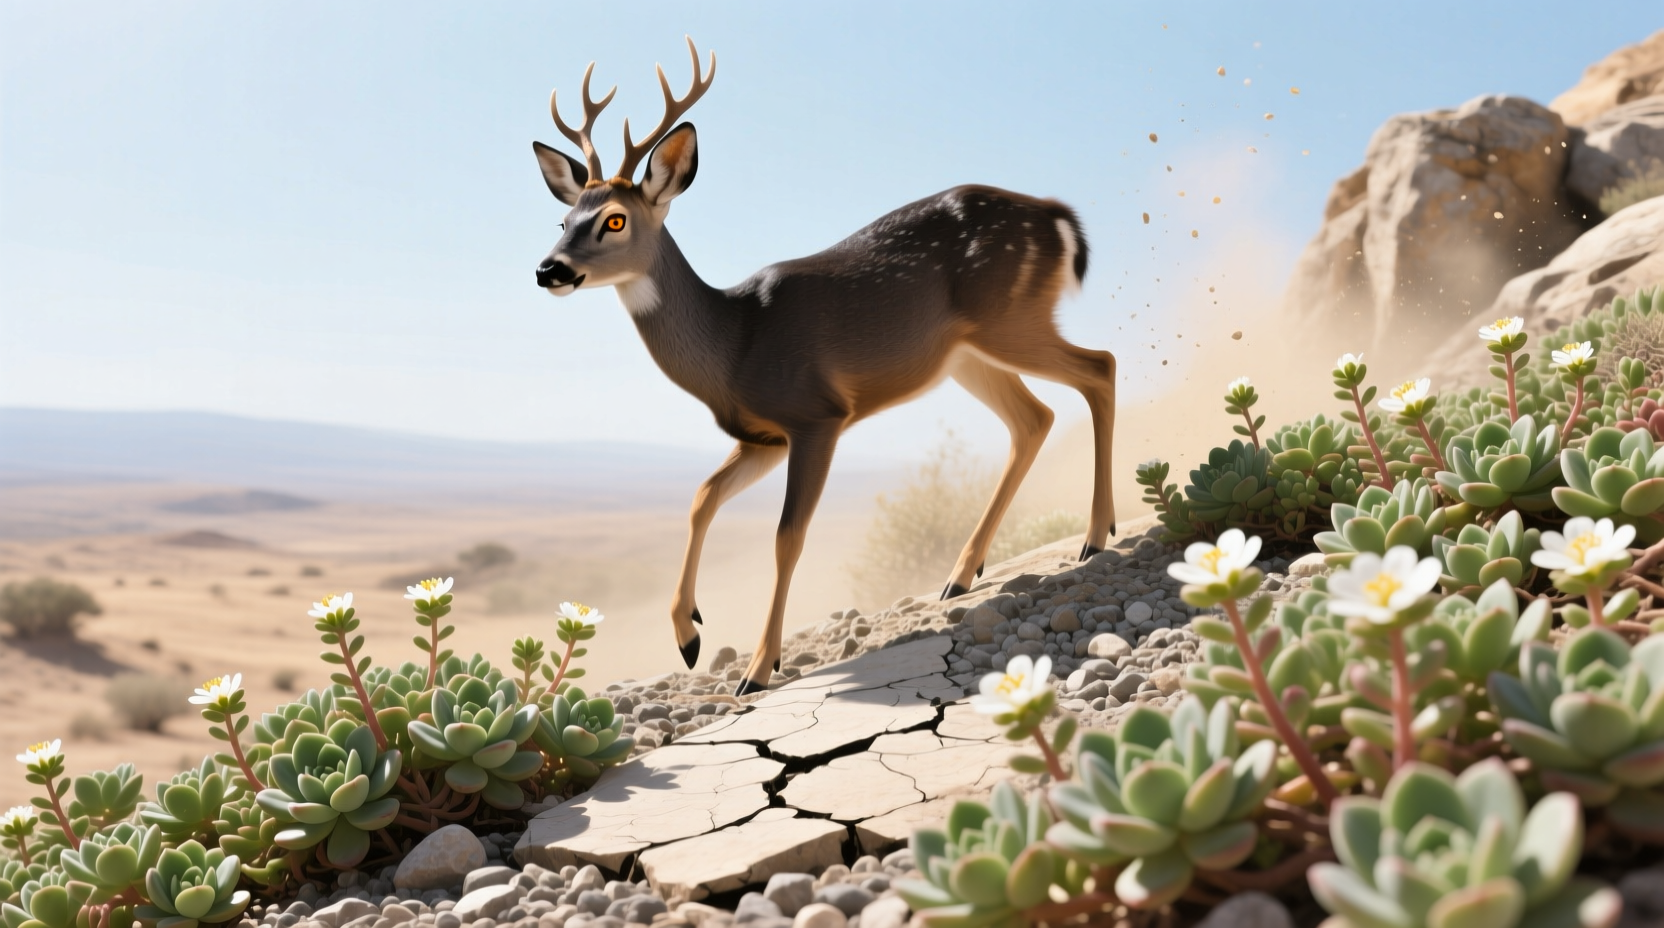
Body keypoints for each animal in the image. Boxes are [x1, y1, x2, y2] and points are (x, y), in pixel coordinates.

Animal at [531, 39, 1119, 696]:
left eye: (614, 219)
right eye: (563, 220)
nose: (549, 269)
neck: (735, 343)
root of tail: (1057, 216)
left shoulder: (817, 413)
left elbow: (787, 535)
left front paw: (758, 669)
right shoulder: (763, 437)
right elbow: (702, 497)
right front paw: (689, 636)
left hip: (1010, 320)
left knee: (1100, 367)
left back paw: (1095, 537)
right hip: (969, 355)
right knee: (1034, 418)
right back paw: (962, 574)